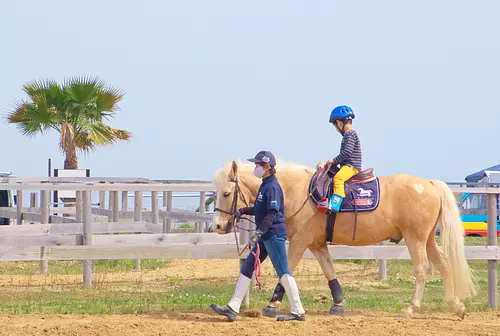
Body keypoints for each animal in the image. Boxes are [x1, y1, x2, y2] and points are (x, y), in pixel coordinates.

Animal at [211, 159, 476, 318]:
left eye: (226, 193)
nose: (218, 226)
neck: (296, 191)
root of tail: (428, 184)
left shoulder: (299, 242)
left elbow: (286, 271)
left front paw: (273, 304)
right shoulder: (317, 244)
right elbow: (329, 271)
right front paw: (338, 303)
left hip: (416, 240)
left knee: (422, 270)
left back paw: (410, 308)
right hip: (428, 239)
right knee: (443, 265)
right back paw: (457, 306)